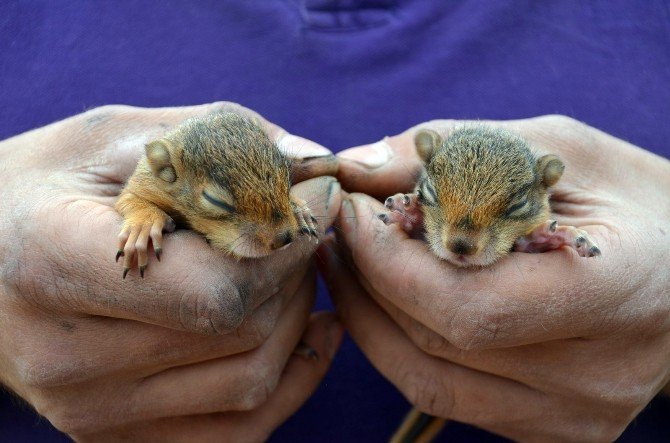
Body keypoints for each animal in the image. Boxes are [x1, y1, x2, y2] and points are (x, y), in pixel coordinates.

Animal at [116, 112, 320, 278]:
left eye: (287, 175)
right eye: (215, 200)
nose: (284, 238)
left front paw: (298, 209)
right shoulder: (144, 184)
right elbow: (128, 199)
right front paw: (144, 225)